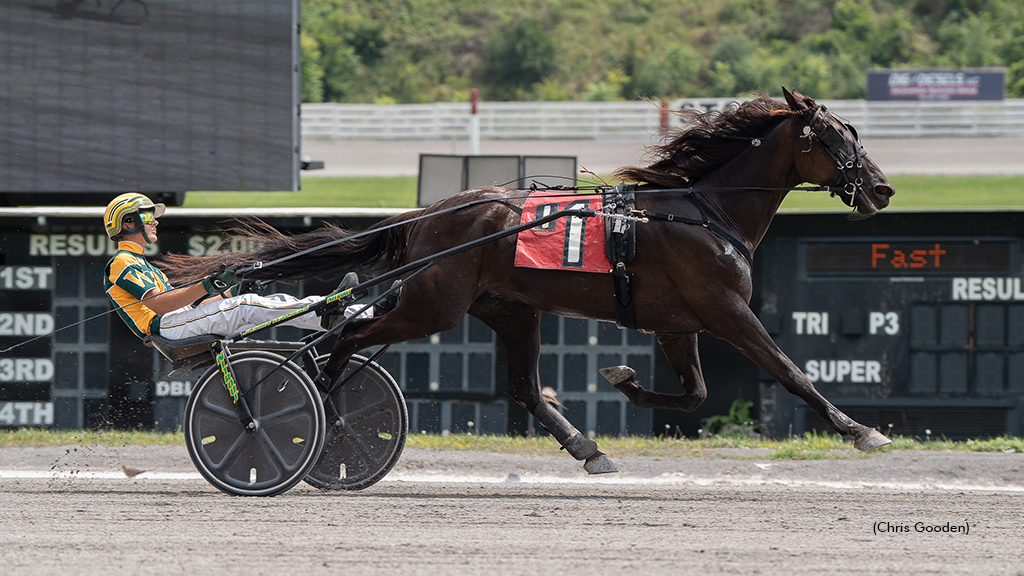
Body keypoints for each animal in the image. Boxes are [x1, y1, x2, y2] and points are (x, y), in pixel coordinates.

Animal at [161, 86, 897, 471]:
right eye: (837, 137)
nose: (884, 189)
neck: (704, 210)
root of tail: (433, 214)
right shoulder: (725, 310)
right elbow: (791, 372)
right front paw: (860, 429)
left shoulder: (678, 322)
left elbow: (692, 395)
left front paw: (622, 381)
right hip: (434, 304)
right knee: (342, 339)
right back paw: (323, 413)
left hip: (511, 310)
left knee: (521, 386)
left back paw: (586, 446)